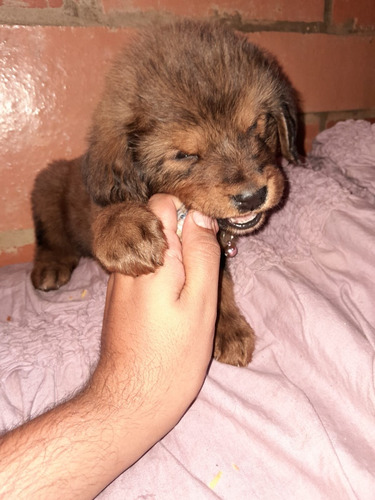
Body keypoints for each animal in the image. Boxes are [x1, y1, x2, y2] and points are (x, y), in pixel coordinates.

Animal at [30, 19, 298, 366]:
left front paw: (227, 327)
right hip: (46, 186)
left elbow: (219, 280)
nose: (252, 196)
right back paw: (51, 266)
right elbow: (111, 207)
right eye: (184, 154)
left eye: (255, 125)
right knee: (50, 238)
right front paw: (125, 230)